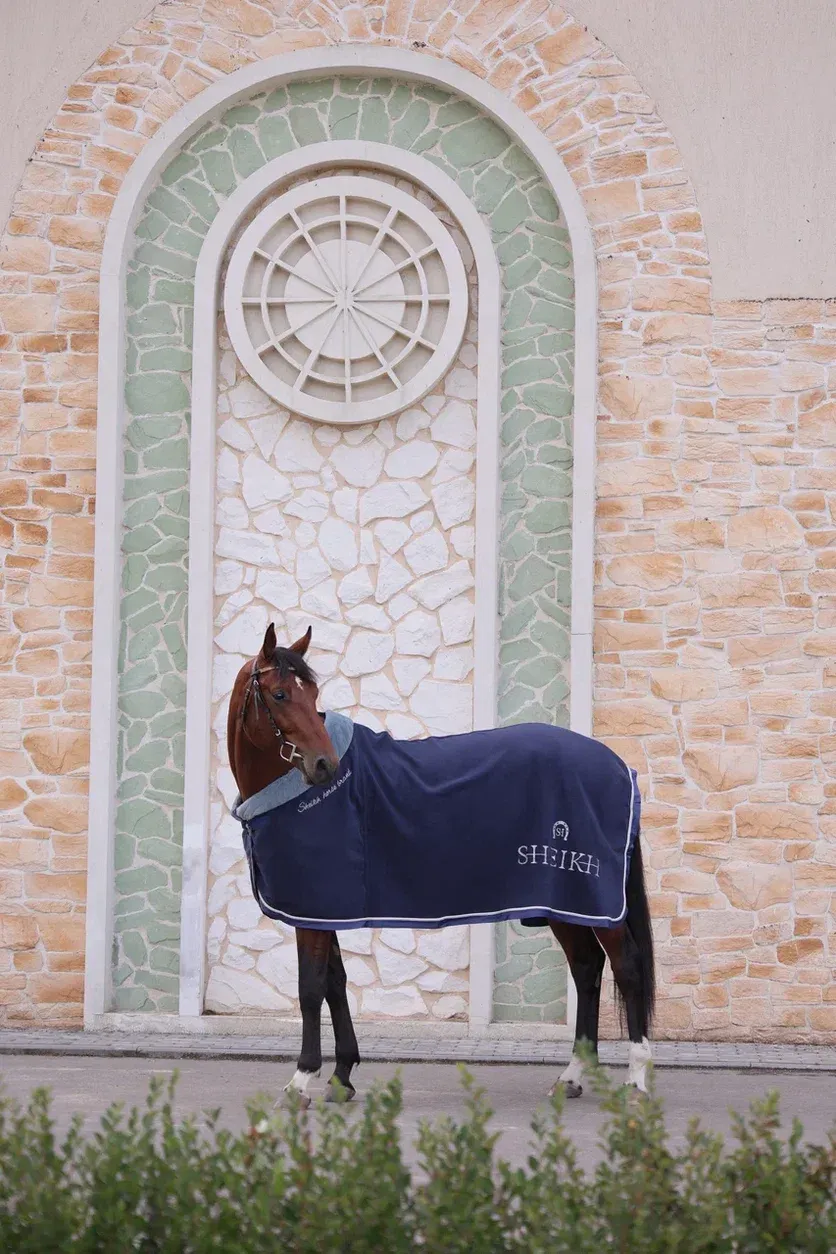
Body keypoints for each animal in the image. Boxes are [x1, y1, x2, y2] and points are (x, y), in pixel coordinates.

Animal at [226, 623, 656, 1106]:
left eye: (312, 692)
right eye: (280, 694)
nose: (324, 766)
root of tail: (618, 767)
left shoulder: (314, 909)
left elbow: (311, 987)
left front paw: (301, 1080)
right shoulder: (322, 910)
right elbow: (335, 982)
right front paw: (342, 1077)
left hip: (593, 900)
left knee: (627, 967)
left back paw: (636, 1081)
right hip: (563, 903)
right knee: (586, 968)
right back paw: (572, 1076)